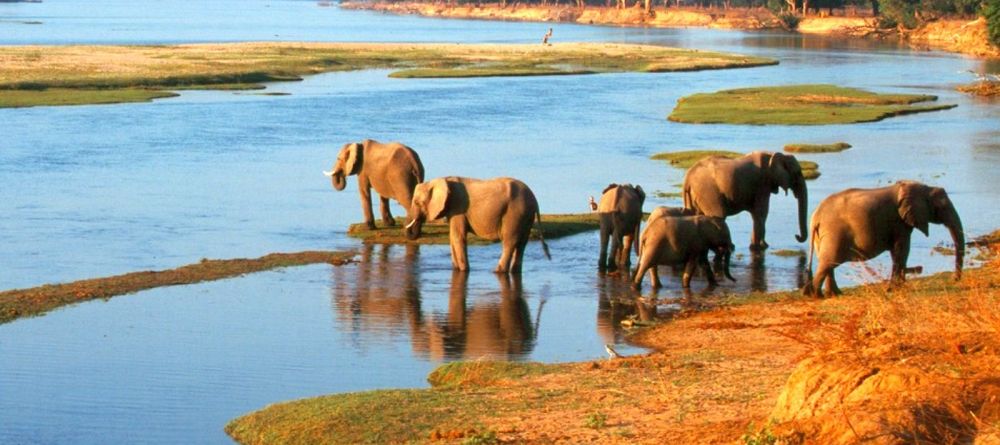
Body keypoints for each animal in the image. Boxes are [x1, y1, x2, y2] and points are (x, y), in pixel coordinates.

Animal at [404, 176, 551, 273]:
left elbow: (458, 237)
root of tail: (534, 199)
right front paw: (456, 269)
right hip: (525, 215)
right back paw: (513, 271)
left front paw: (464, 271)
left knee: (510, 241)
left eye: (416, 202)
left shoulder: (458, 207)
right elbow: (452, 237)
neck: (441, 179)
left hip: (515, 213)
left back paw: (497, 271)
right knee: (522, 244)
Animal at [802, 180, 964, 297]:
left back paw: (834, 295)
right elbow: (902, 250)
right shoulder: (899, 221)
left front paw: (898, 287)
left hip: (822, 237)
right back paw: (817, 296)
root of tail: (815, 217)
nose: (954, 279)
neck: (923, 187)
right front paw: (895, 288)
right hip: (833, 234)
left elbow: (897, 251)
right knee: (828, 263)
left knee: (828, 263)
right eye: (941, 207)